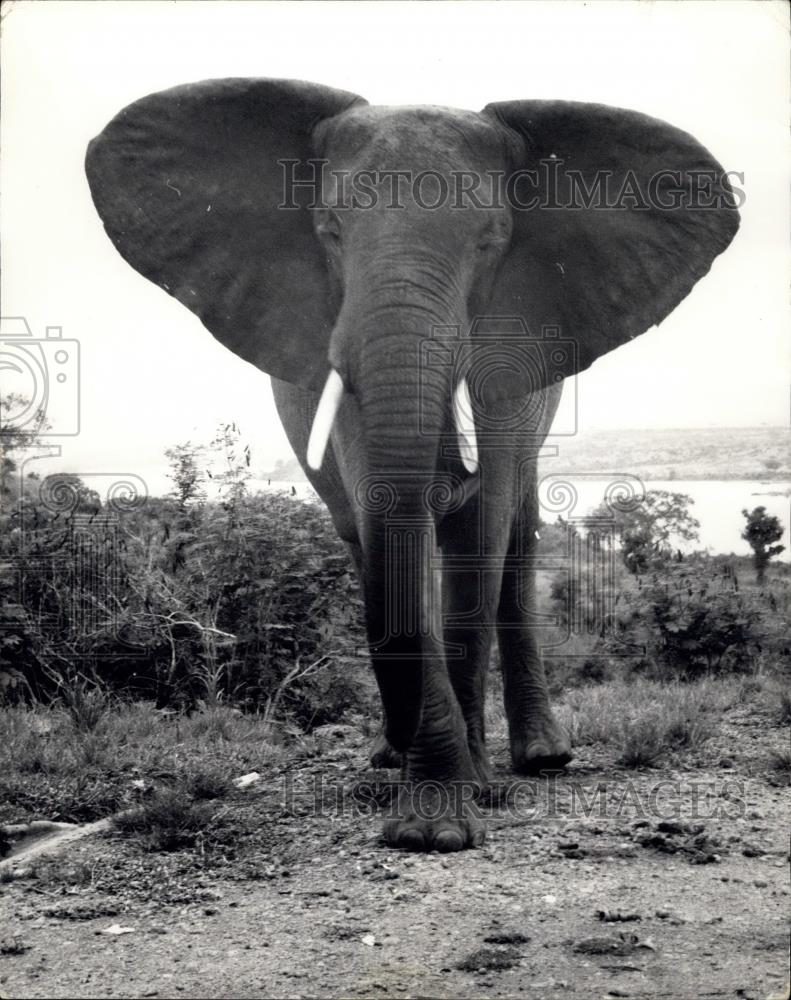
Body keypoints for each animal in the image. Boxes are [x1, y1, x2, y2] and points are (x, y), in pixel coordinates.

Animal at [83, 82, 740, 856]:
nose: (403, 738)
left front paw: (461, 804)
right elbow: (389, 520)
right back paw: (393, 755)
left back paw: (539, 758)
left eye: (492, 239)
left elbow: (479, 534)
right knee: (364, 537)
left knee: (514, 540)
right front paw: (428, 816)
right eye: (330, 230)